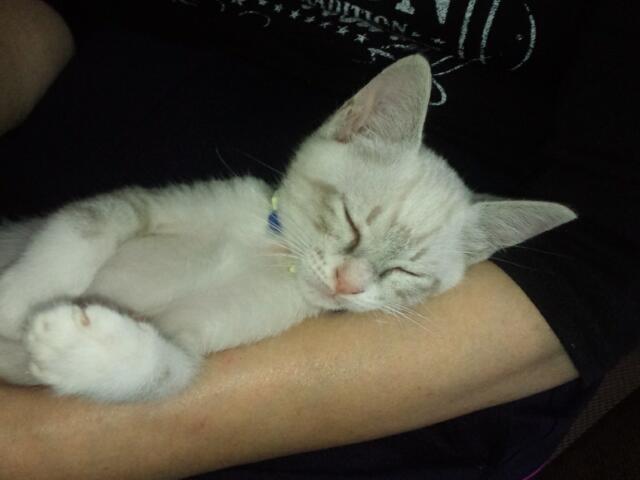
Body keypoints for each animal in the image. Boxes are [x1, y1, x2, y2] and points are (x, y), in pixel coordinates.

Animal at [0, 55, 576, 402]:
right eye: (350, 221)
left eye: (405, 272)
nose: (348, 284)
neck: (274, 255)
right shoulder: (146, 205)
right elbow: (86, 224)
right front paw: (18, 298)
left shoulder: (194, 335)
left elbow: (168, 372)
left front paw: (83, 349)